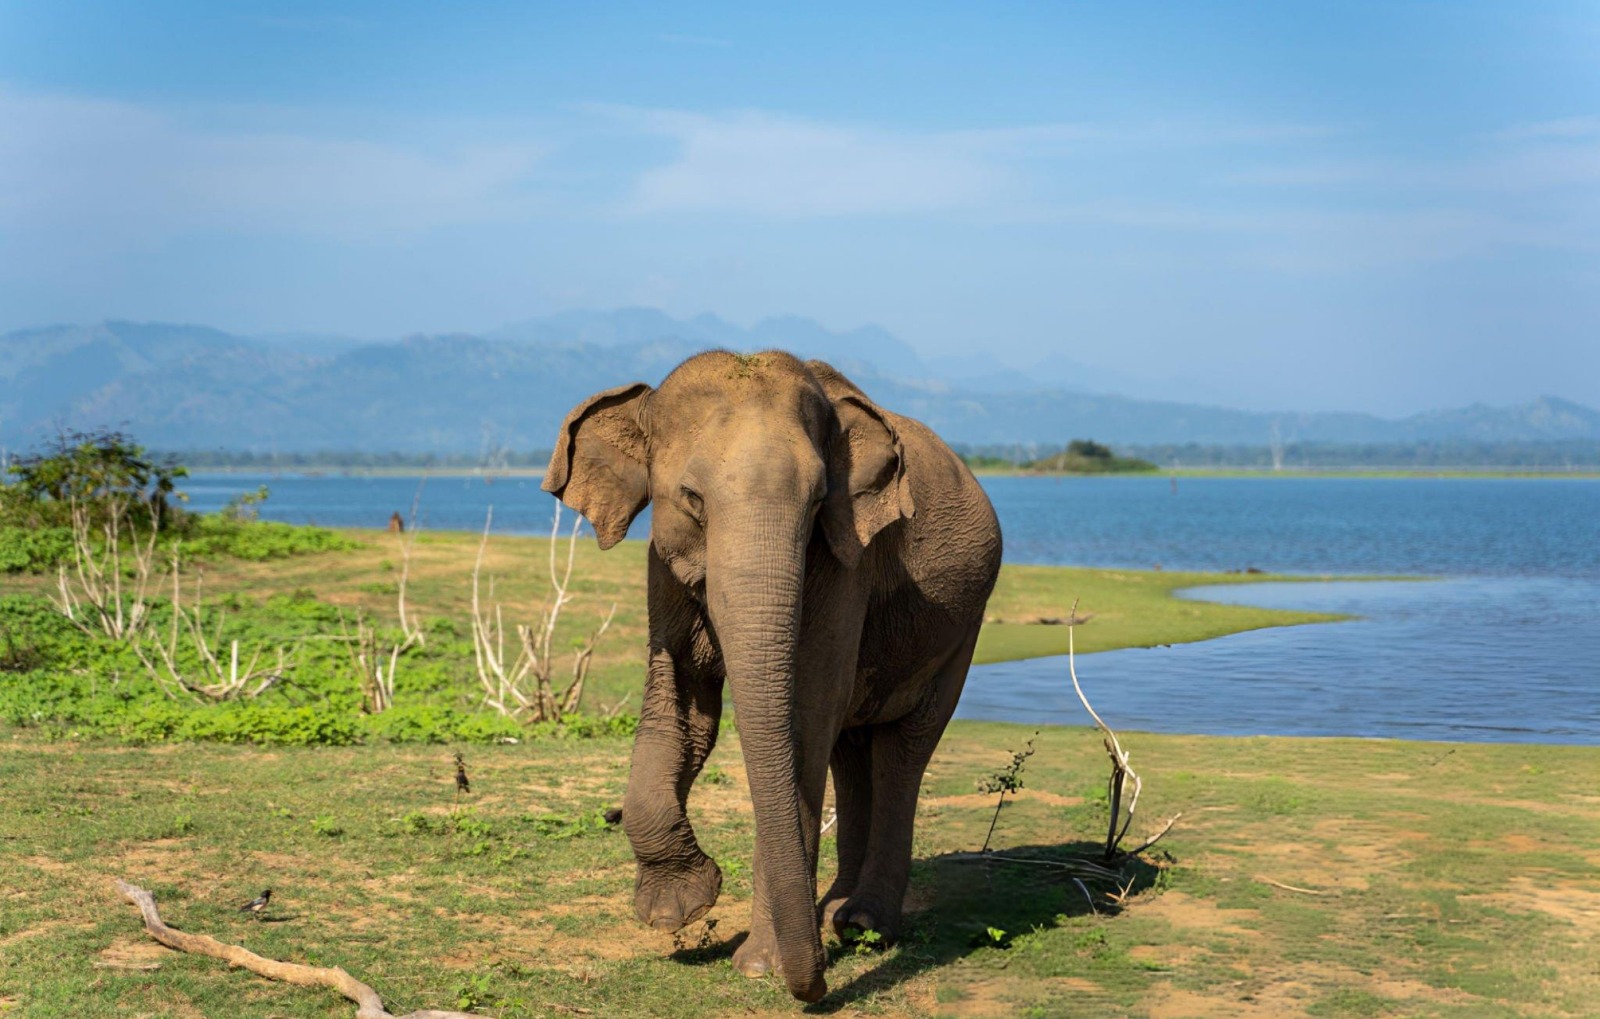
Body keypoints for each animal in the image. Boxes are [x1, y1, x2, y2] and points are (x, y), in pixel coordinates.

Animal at [542, 350, 1001, 1002]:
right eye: (691, 497)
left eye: (817, 502)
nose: (814, 988)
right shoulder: (663, 568)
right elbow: (681, 711)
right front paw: (676, 910)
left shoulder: (844, 560)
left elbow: (803, 723)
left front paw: (761, 966)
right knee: (851, 749)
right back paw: (835, 917)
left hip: (962, 630)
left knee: (902, 750)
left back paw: (865, 924)